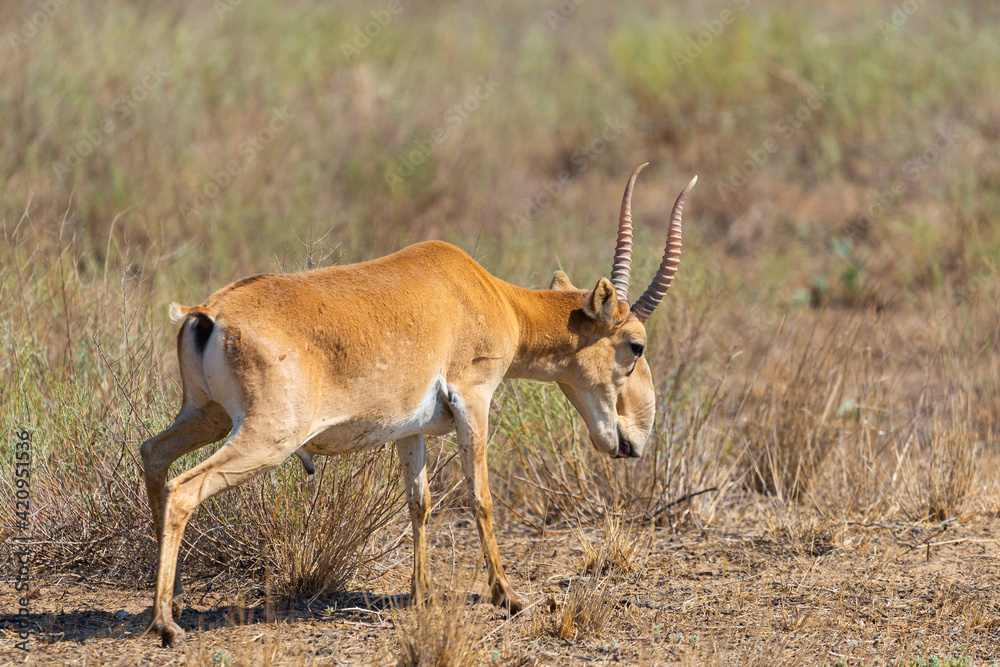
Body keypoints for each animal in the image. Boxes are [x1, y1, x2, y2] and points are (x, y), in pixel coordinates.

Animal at [143, 163, 696, 648]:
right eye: (636, 346)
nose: (636, 439)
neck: (488, 294)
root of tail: (208, 312)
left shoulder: (409, 431)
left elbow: (420, 502)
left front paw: (423, 594)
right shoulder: (474, 402)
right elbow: (481, 497)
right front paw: (510, 597)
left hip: (207, 417)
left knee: (154, 455)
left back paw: (166, 602)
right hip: (265, 439)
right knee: (184, 488)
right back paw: (167, 625)